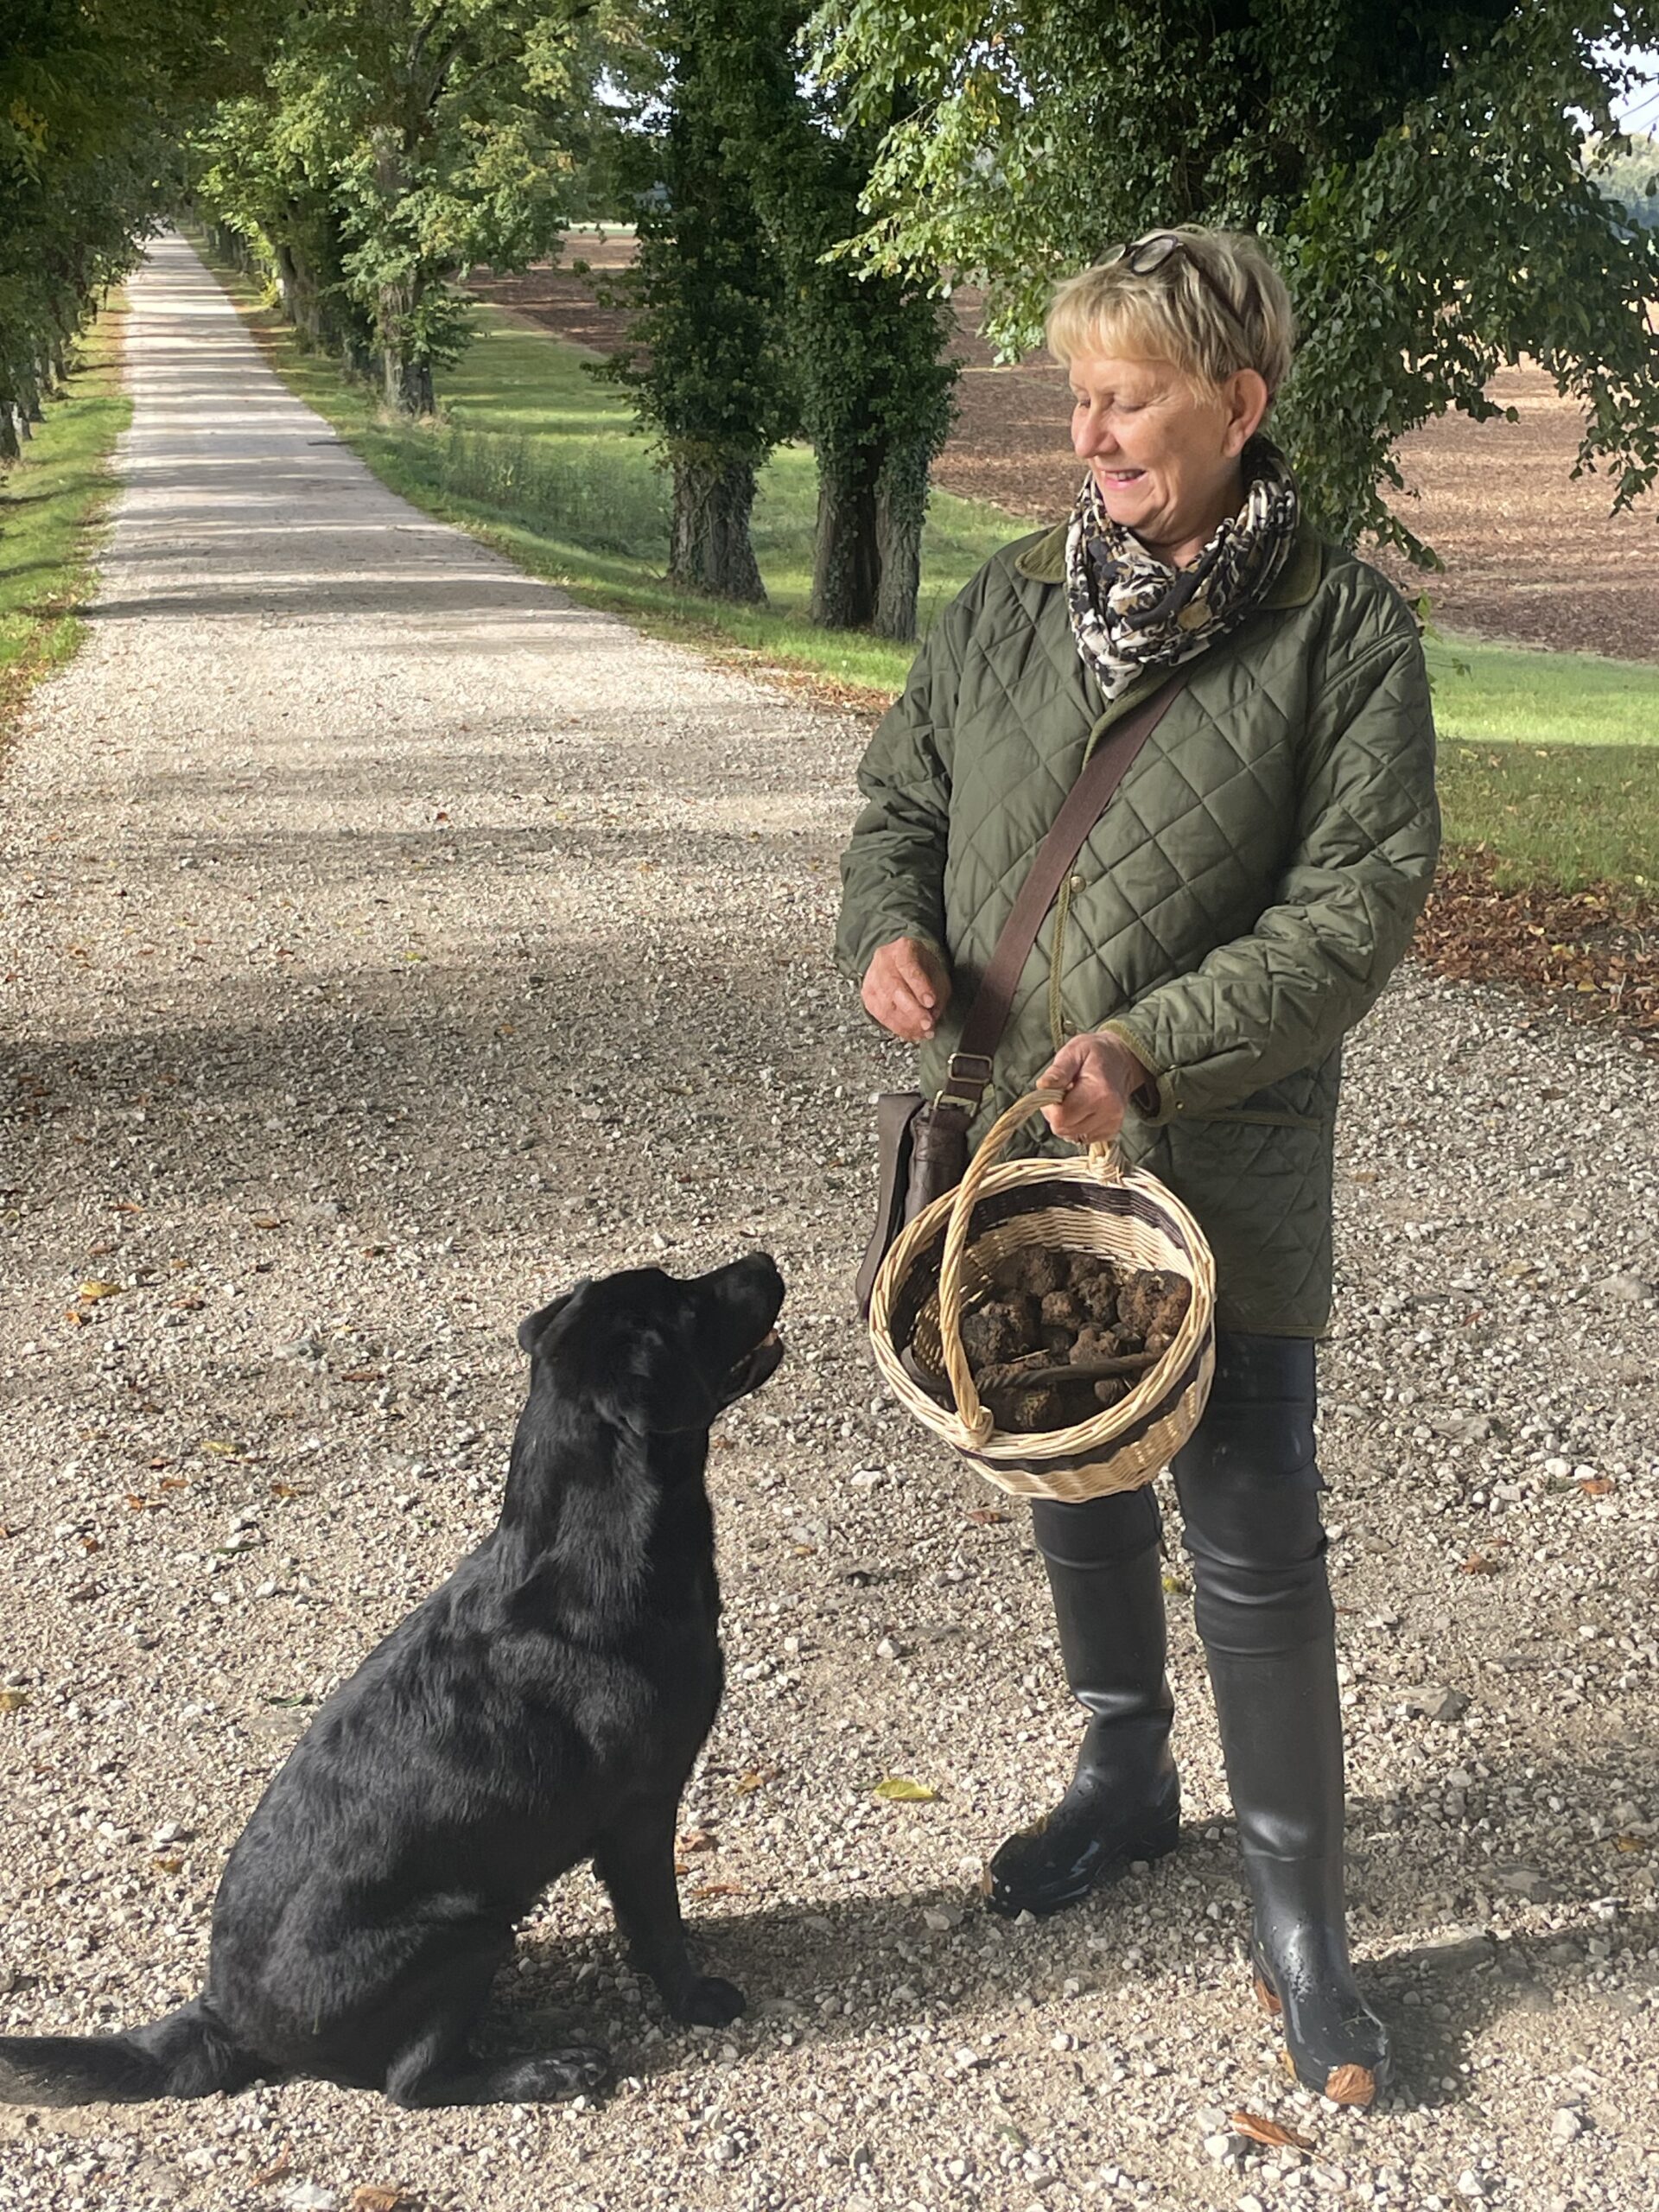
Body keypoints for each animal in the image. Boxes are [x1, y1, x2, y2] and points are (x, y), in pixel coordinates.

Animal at [0, 1265, 787, 2106]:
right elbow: (661, 1923)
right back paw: (546, 2067)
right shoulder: (639, 1812)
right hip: (469, 1926)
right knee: (414, 2082)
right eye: (688, 1302)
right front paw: (695, 1999)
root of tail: (226, 2018)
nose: (766, 1262)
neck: (591, 1557)